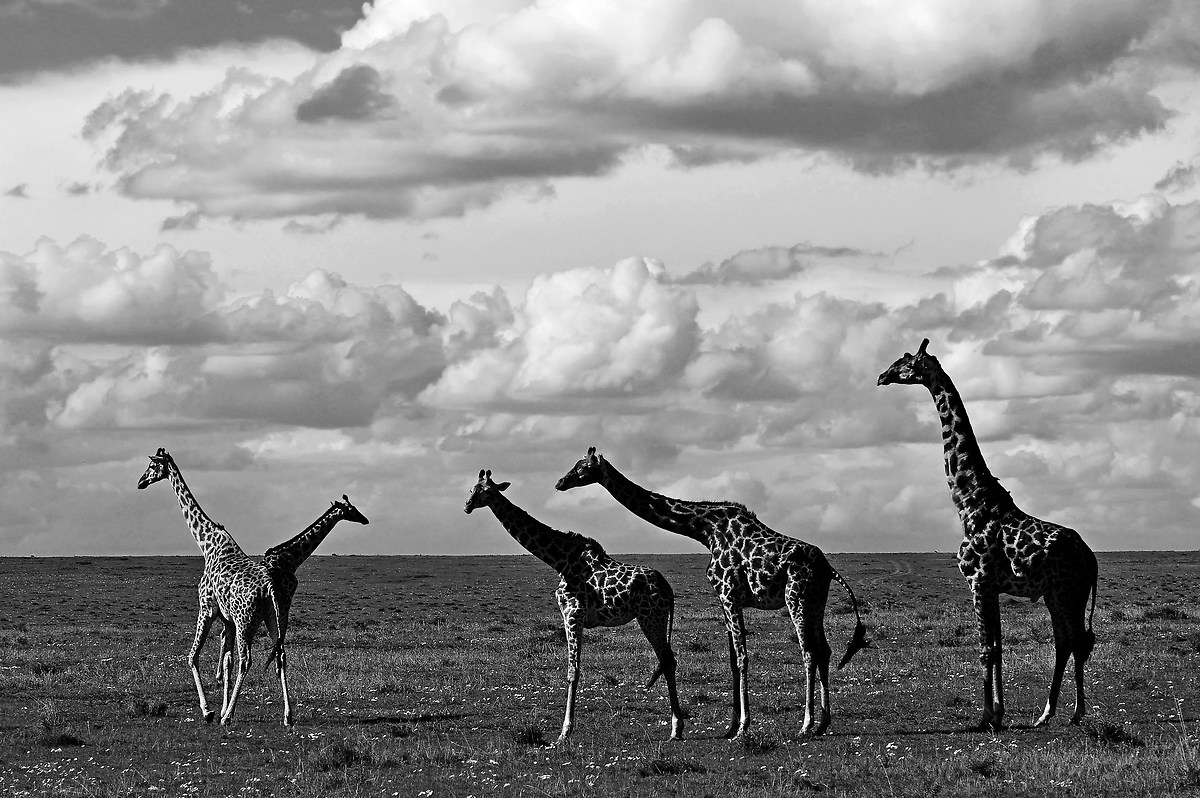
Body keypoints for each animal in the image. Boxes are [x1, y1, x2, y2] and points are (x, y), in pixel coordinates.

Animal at [137, 447, 290, 726]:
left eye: (152, 466)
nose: (140, 482)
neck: (207, 544)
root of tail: (269, 589)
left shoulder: (206, 608)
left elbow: (192, 656)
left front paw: (209, 711)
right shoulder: (227, 619)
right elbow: (225, 662)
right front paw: (219, 707)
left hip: (245, 620)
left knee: (246, 661)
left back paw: (228, 717)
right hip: (274, 618)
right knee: (281, 656)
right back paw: (288, 716)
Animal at [210, 495, 370, 711]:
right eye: (352, 509)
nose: (365, 520)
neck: (291, 559)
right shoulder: (285, 599)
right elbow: (280, 643)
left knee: (223, 636)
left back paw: (220, 680)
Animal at [464, 469, 687, 744]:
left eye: (483, 490)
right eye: (471, 489)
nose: (467, 506)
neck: (559, 560)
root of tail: (668, 588)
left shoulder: (572, 613)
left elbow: (573, 671)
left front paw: (564, 732)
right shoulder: (572, 615)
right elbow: (574, 669)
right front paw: (565, 730)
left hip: (651, 616)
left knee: (667, 660)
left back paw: (676, 728)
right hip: (654, 616)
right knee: (668, 660)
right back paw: (677, 727)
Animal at [555, 448, 868, 739]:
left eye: (582, 467)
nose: (560, 482)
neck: (704, 530)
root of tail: (827, 567)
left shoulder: (728, 591)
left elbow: (742, 656)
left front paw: (743, 726)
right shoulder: (724, 597)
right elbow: (731, 659)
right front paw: (731, 726)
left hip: (796, 597)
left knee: (809, 650)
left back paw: (805, 724)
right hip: (816, 601)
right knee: (824, 649)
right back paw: (823, 724)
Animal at [877, 338, 1098, 730]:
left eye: (905, 363)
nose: (881, 376)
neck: (969, 504)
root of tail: (1092, 559)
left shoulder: (978, 581)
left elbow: (986, 648)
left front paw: (985, 717)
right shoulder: (992, 586)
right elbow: (997, 646)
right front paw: (998, 713)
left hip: (1068, 592)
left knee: (1076, 640)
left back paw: (1074, 712)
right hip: (1057, 594)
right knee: (1066, 641)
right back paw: (1047, 713)